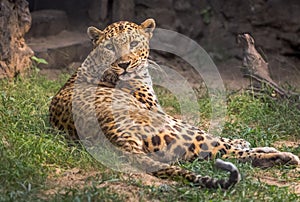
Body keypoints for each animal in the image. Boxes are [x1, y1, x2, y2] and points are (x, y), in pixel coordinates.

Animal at [48, 17, 298, 189]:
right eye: (109, 47)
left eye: (134, 43)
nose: (124, 64)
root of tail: (116, 137)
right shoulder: (164, 114)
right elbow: (218, 137)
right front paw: (241, 140)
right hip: (177, 131)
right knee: (223, 150)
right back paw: (283, 157)